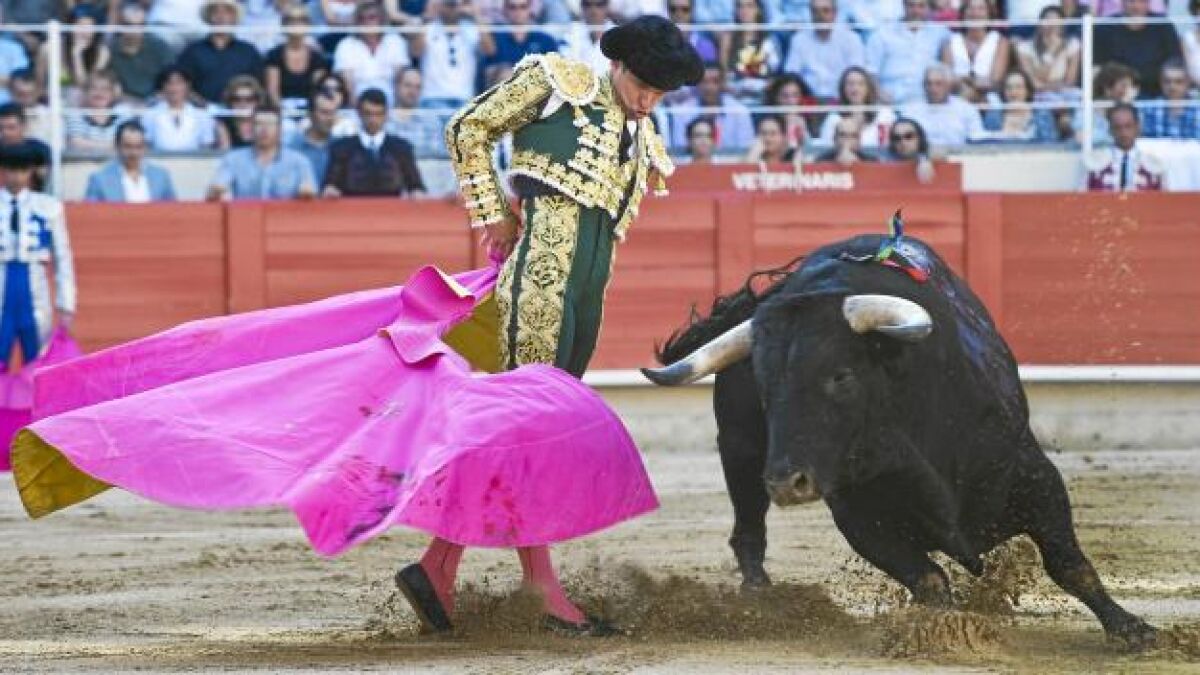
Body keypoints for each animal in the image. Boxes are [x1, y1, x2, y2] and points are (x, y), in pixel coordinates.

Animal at [642, 233, 1157, 647]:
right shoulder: (861, 519)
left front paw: (1133, 631)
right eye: (765, 386)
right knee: (749, 528)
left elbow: (1070, 564)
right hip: (740, 450)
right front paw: (946, 633)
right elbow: (929, 580)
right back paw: (758, 597)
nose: (788, 483)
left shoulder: (1035, 476)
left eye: (841, 375)